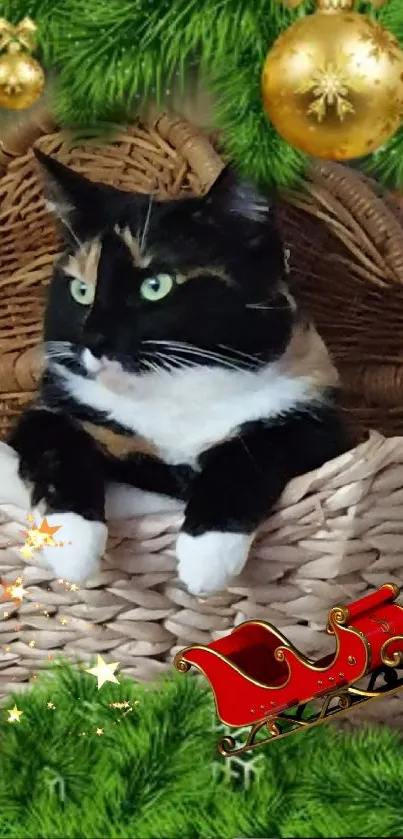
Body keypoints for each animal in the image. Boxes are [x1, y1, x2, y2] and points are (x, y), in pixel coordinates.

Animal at [5, 151, 348, 596]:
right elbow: (57, 448)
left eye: (156, 286)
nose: (94, 338)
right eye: (82, 291)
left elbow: (252, 452)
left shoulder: (316, 421)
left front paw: (207, 557)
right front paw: (72, 546)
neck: (173, 396)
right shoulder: (51, 411)